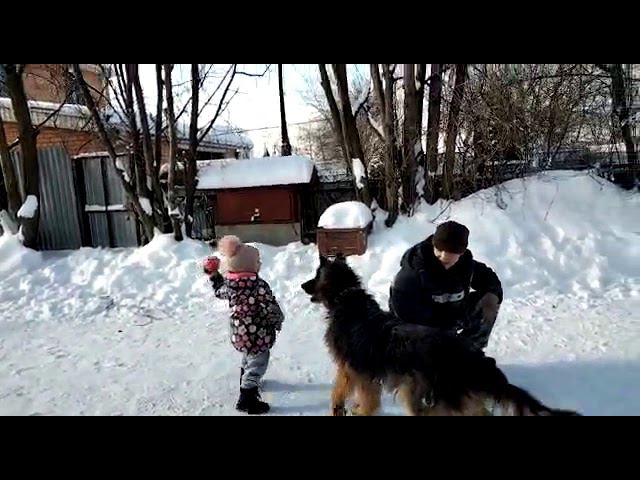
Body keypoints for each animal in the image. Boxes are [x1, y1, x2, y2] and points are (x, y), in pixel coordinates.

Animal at [301, 254, 580, 416]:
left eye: (315, 275)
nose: (303, 285)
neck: (346, 298)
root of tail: (471, 357)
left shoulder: (355, 369)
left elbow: (343, 392)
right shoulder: (360, 372)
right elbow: (353, 394)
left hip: (424, 394)